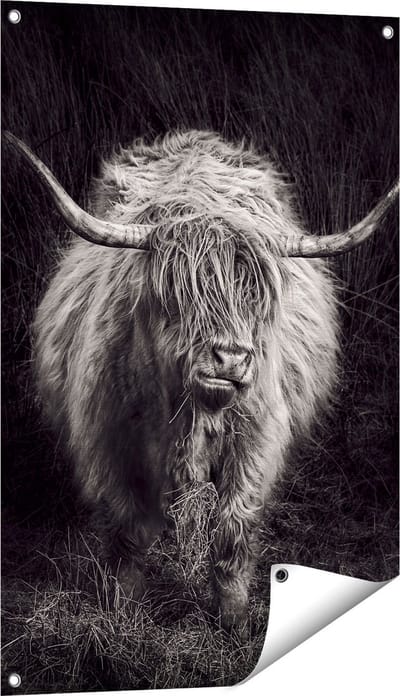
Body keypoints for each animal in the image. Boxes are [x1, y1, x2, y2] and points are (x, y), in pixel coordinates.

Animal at [4, 130, 398, 630]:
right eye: (179, 295)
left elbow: (233, 529)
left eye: (256, 296)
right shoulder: (109, 441)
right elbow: (126, 529)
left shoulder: (255, 443)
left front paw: (233, 618)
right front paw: (123, 610)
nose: (231, 358)